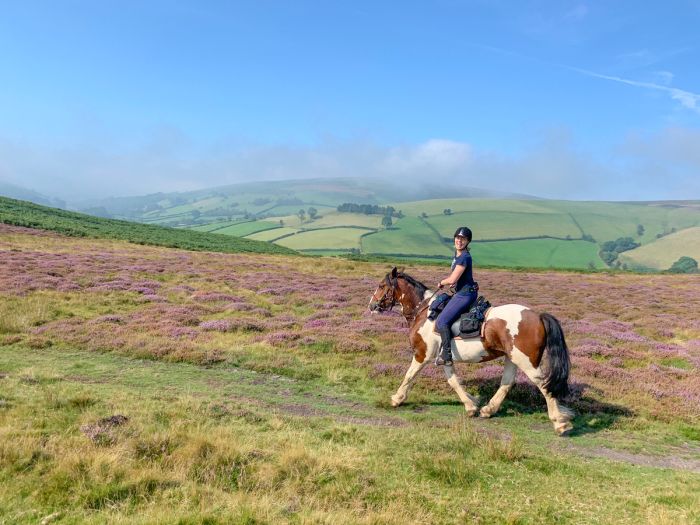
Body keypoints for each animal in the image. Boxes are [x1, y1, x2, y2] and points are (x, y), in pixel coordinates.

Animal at [366, 266, 576, 434]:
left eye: (381, 285)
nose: (372, 305)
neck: (424, 312)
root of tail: (538, 316)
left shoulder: (421, 354)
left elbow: (409, 376)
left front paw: (397, 399)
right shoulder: (444, 357)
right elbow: (453, 381)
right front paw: (471, 405)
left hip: (527, 361)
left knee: (544, 385)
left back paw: (560, 423)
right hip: (512, 358)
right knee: (507, 383)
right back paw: (488, 410)